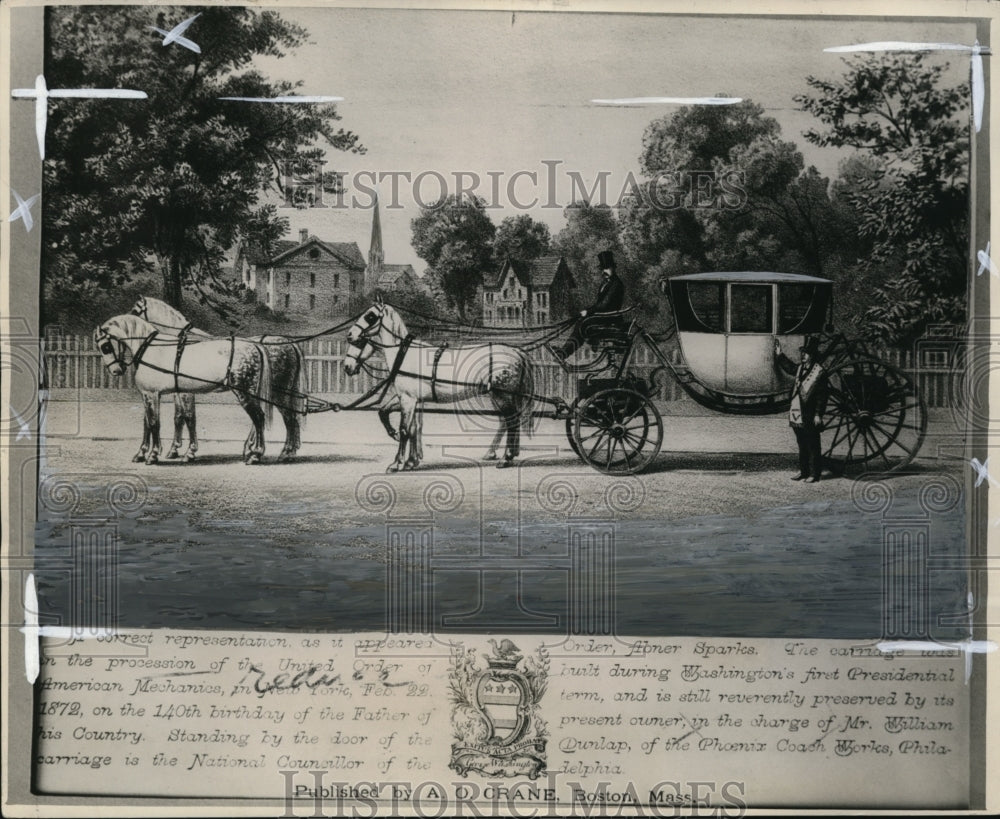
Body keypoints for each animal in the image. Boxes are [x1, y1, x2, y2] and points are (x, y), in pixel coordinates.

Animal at [96, 314, 282, 464]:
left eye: (106, 346)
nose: (116, 371)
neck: (150, 349)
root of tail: (255, 345)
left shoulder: (152, 394)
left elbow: (156, 423)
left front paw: (154, 455)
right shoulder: (155, 394)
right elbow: (151, 422)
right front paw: (144, 453)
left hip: (244, 392)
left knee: (258, 418)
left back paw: (255, 455)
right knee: (257, 419)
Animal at [131, 294, 306, 462]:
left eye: (135, 311)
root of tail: (289, 343)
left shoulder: (185, 391)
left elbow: (186, 417)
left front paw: (184, 450)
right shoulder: (178, 390)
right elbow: (176, 417)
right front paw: (172, 449)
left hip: (274, 393)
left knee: (284, 417)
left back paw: (275, 451)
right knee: (288, 417)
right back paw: (283, 451)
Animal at [344, 298, 536, 470]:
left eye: (370, 316)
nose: (350, 335)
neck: (405, 355)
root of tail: (515, 351)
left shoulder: (408, 399)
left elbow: (405, 429)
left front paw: (397, 463)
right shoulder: (410, 399)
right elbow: (394, 418)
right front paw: (409, 458)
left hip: (502, 395)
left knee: (511, 421)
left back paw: (505, 458)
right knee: (510, 420)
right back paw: (506, 454)